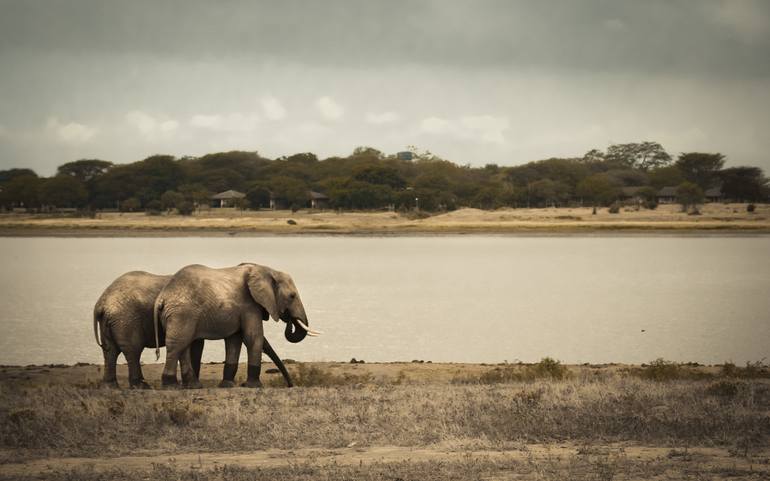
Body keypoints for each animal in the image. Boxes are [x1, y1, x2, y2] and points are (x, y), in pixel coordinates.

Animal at [93, 268, 292, 388]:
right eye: (291, 297)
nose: (290, 385)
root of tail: (101, 303)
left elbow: (195, 345)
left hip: (113, 321)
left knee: (110, 351)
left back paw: (112, 386)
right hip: (126, 319)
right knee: (132, 350)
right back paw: (142, 386)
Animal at [154, 260, 316, 388]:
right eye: (292, 296)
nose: (290, 385)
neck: (267, 269)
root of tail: (162, 297)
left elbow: (234, 340)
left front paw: (227, 385)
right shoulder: (249, 305)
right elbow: (253, 337)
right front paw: (254, 386)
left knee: (184, 345)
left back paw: (193, 386)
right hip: (182, 314)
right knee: (176, 345)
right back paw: (171, 386)